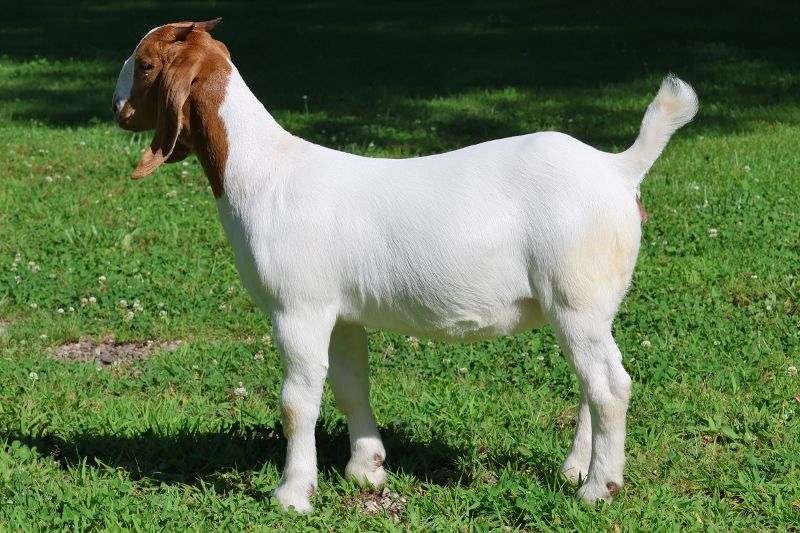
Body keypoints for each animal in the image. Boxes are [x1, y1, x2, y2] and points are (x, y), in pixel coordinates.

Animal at [112, 19, 698, 513]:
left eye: (145, 64)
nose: (116, 106)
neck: (265, 173)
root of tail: (618, 168)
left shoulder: (299, 308)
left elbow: (297, 402)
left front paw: (292, 495)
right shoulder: (341, 313)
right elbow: (350, 387)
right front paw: (366, 470)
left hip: (575, 291)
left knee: (610, 386)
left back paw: (599, 488)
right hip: (585, 304)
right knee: (591, 381)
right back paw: (576, 468)